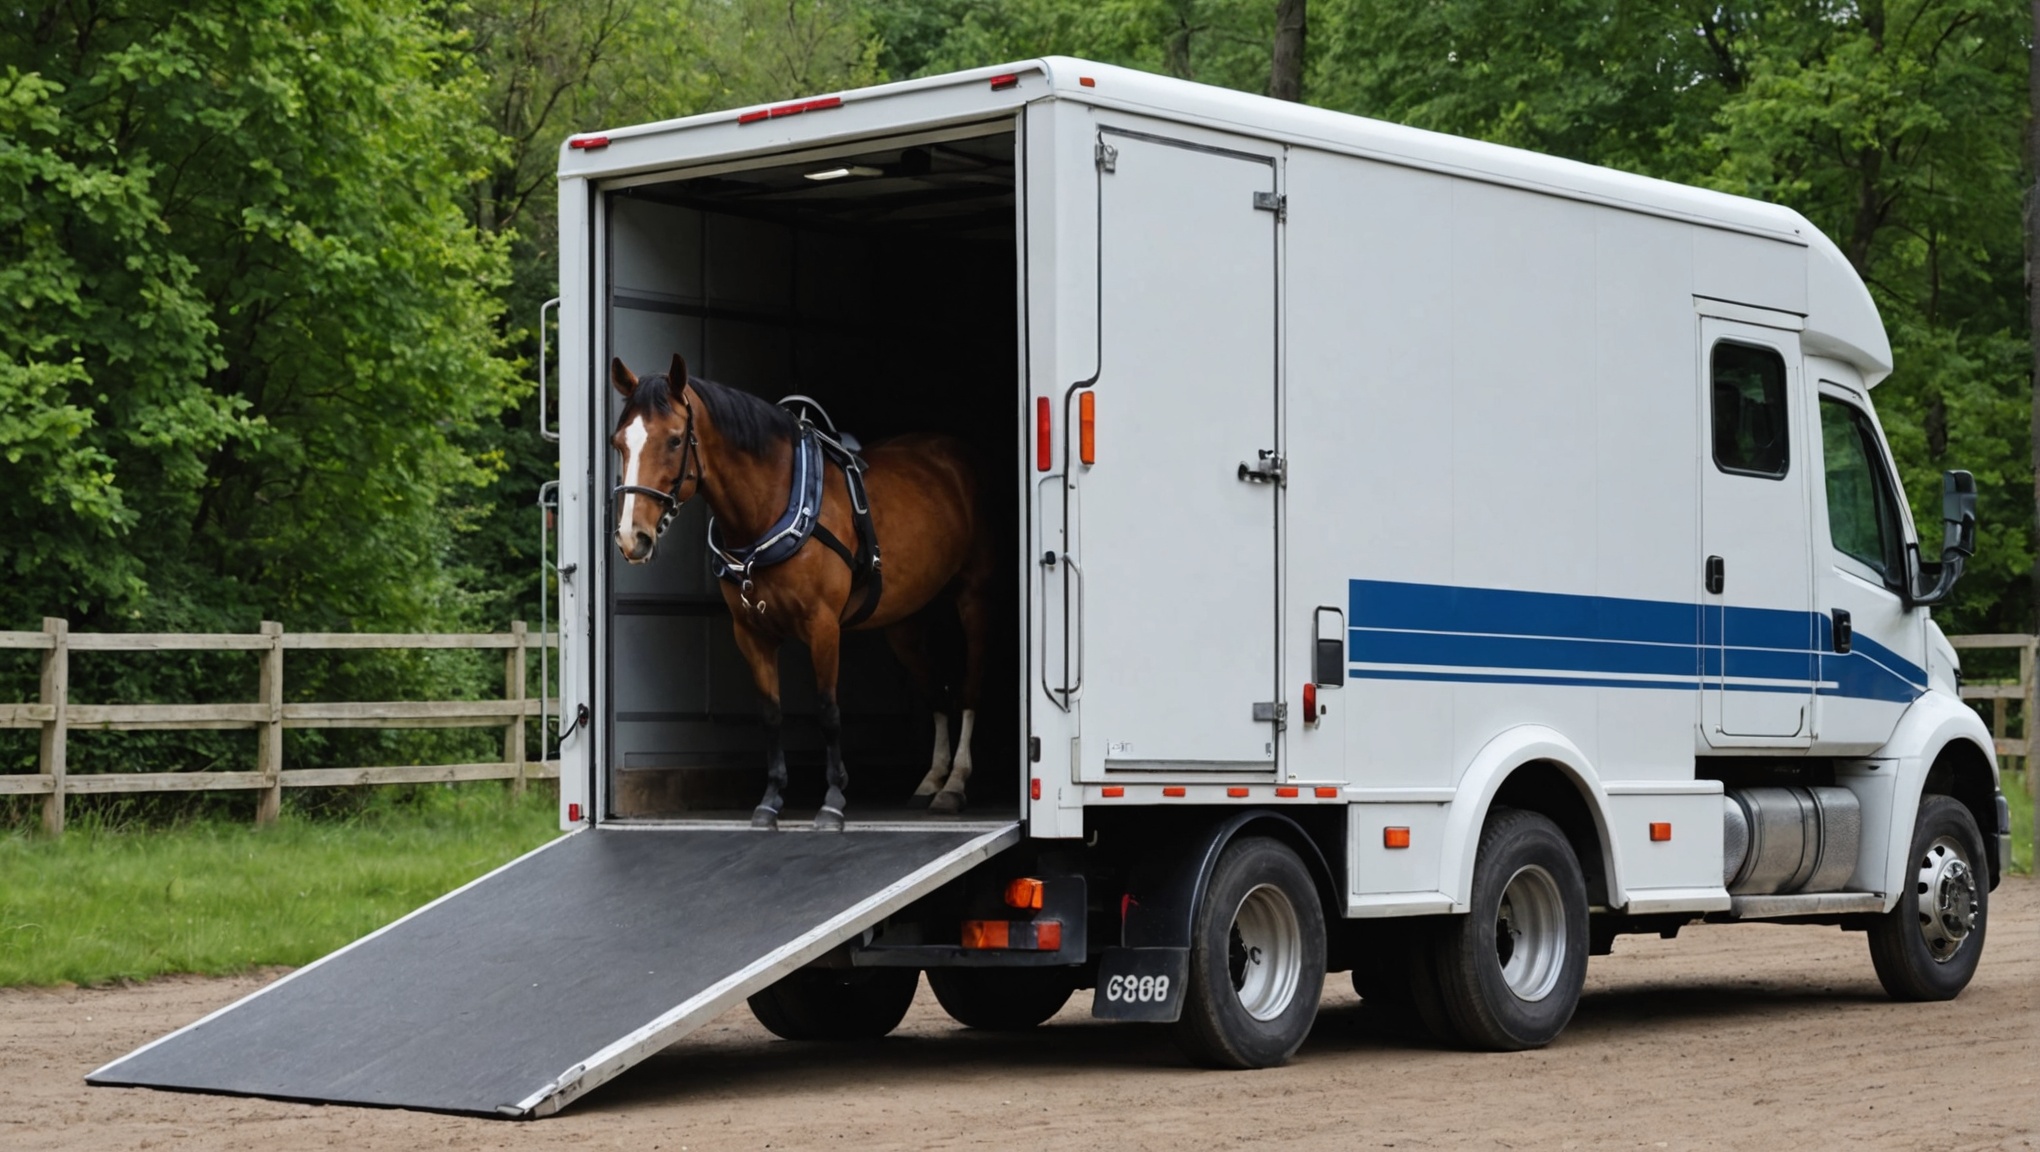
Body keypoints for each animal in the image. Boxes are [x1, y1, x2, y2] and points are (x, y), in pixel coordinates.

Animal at [607, 352, 991, 827]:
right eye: (618, 443)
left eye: (676, 440)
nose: (632, 538)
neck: (771, 507)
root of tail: (956, 456)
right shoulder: (751, 633)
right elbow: (771, 714)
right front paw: (770, 800)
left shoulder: (823, 627)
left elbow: (828, 711)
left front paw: (833, 801)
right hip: (905, 620)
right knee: (935, 690)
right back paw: (931, 780)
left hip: (973, 598)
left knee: (969, 686)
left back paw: (955, 783)